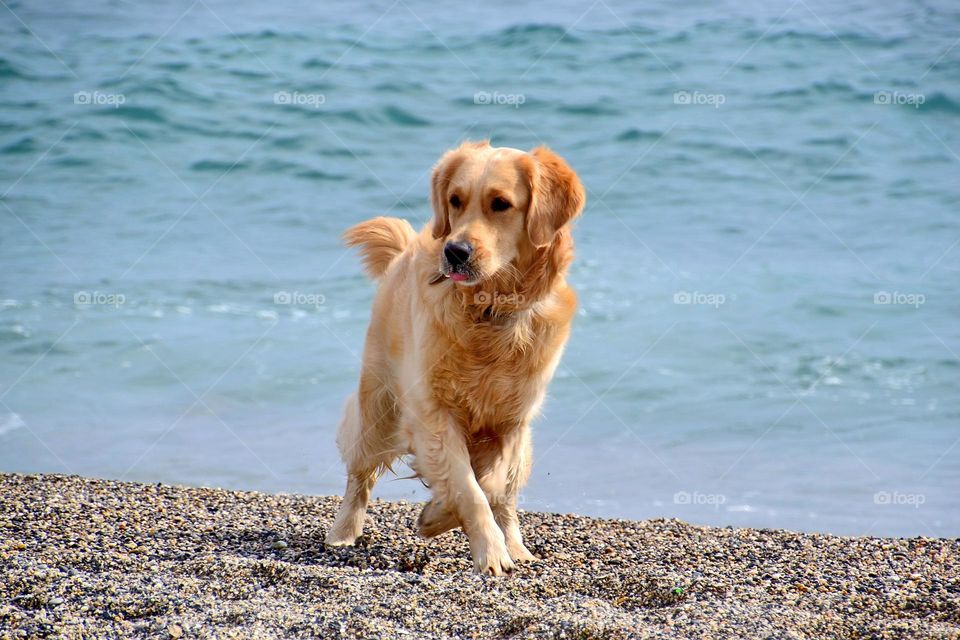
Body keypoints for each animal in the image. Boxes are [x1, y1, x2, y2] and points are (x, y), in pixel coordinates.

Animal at [326, 142, 584, 576]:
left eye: (501, 204)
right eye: (455, 200)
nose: (455, 251)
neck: (489, 309)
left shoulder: (512, 419)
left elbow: (490, 485)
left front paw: (441, 516)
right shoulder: (432, 411)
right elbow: (467, 485)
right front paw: (487, 551)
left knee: (507, 498)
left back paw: (518, 547)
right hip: (378, 406)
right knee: (359, 475)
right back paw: (343, 534)